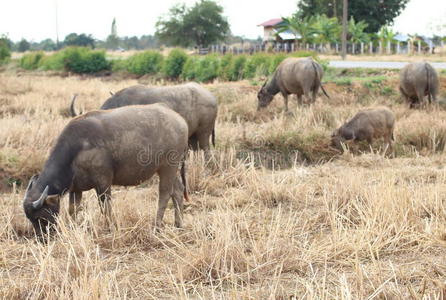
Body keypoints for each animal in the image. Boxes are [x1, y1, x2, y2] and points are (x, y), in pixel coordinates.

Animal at [23, 103, 189, 237]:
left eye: (40, 217)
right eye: (30, 219)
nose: (42, 238)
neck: (76, 150)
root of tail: (181, 121)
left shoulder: (103, 183)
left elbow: (105, 208)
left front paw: (111, 229)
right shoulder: (76, 189)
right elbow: (72, 210)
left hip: (168, 167)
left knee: (165, 193)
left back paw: (157, 227)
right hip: (170, 170)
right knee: (178, 191)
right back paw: (179, 224)